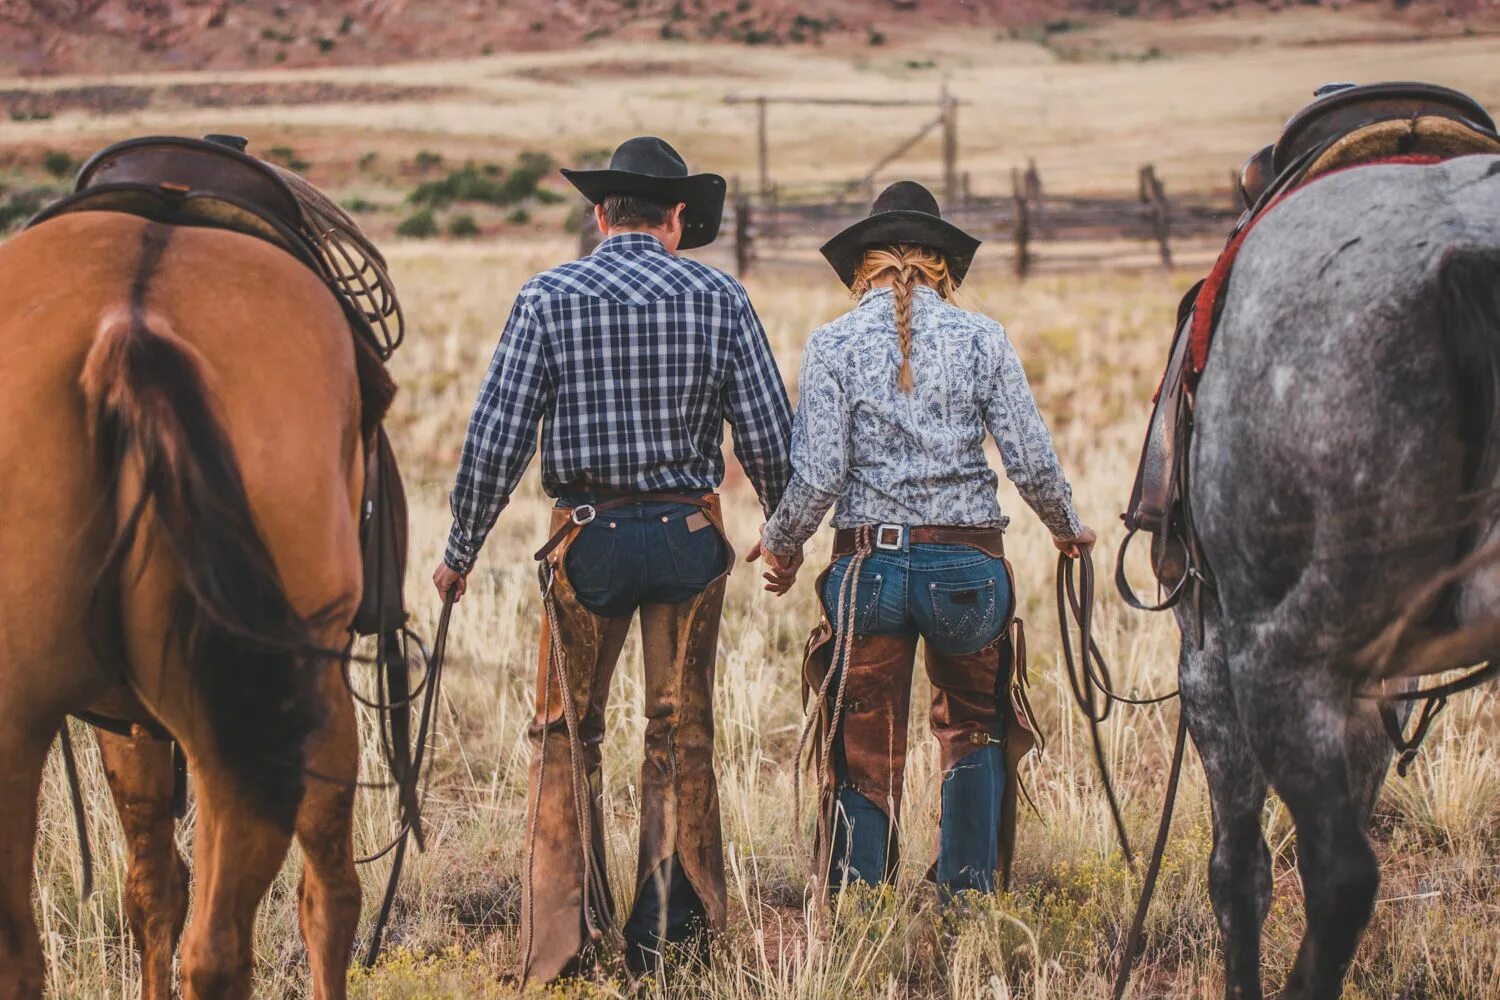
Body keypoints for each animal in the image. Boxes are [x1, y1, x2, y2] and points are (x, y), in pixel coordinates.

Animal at [1176, 150, 1500, 1000]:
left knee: (1339, 878)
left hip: (1281, 664)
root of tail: (1464, 255)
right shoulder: (1380, 686)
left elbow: (1238, 872)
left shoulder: (1210, 662)